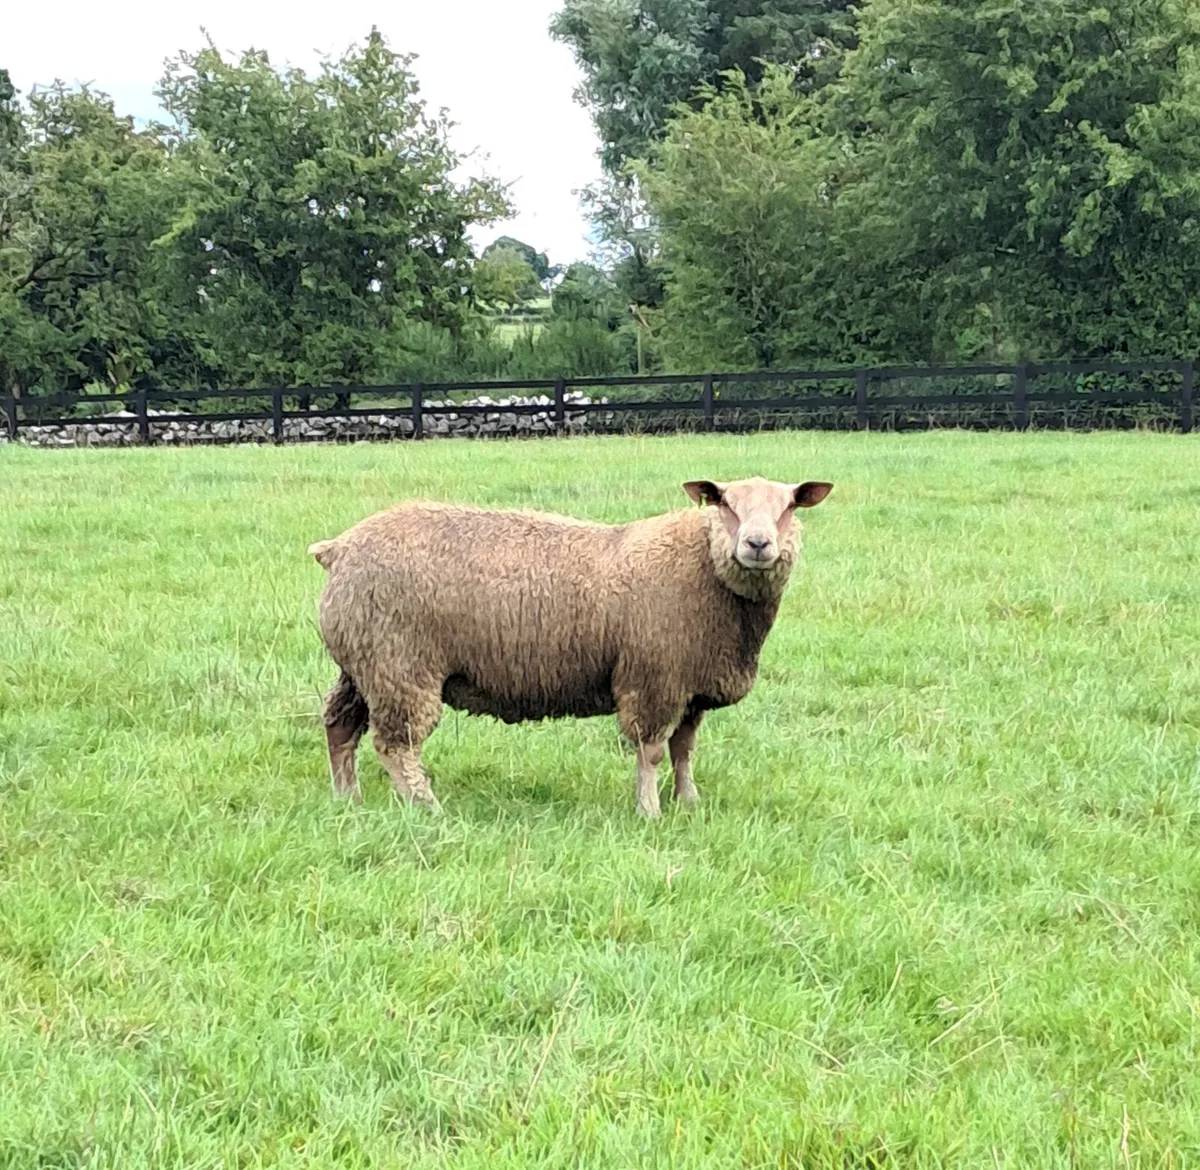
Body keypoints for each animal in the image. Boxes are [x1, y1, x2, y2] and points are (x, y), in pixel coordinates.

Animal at [308, 476, 832, 817]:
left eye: (789, 507)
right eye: (724, 504)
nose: (757, 544)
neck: (705, 569)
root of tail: (338, 548)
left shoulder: (690, 687)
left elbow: (683, 750)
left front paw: (688, 803)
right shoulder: (653, 680)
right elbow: (651, 752)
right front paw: (650, 811)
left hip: (363, 665)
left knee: (339, 726)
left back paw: (346, 798)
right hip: (400, 667)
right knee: (396, 744)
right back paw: (428, 809)